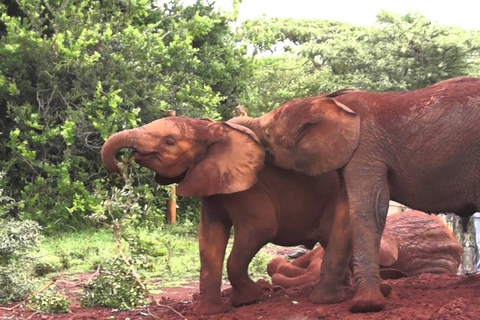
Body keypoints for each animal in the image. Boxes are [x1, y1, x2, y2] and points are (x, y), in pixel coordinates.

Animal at [100, 115, 348, 316]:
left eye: (169, 142)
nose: (123, 163)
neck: (213, 130)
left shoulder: (251, 188)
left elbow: (261, 228)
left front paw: (249, 298)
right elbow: (210, 238)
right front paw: (208, 312)